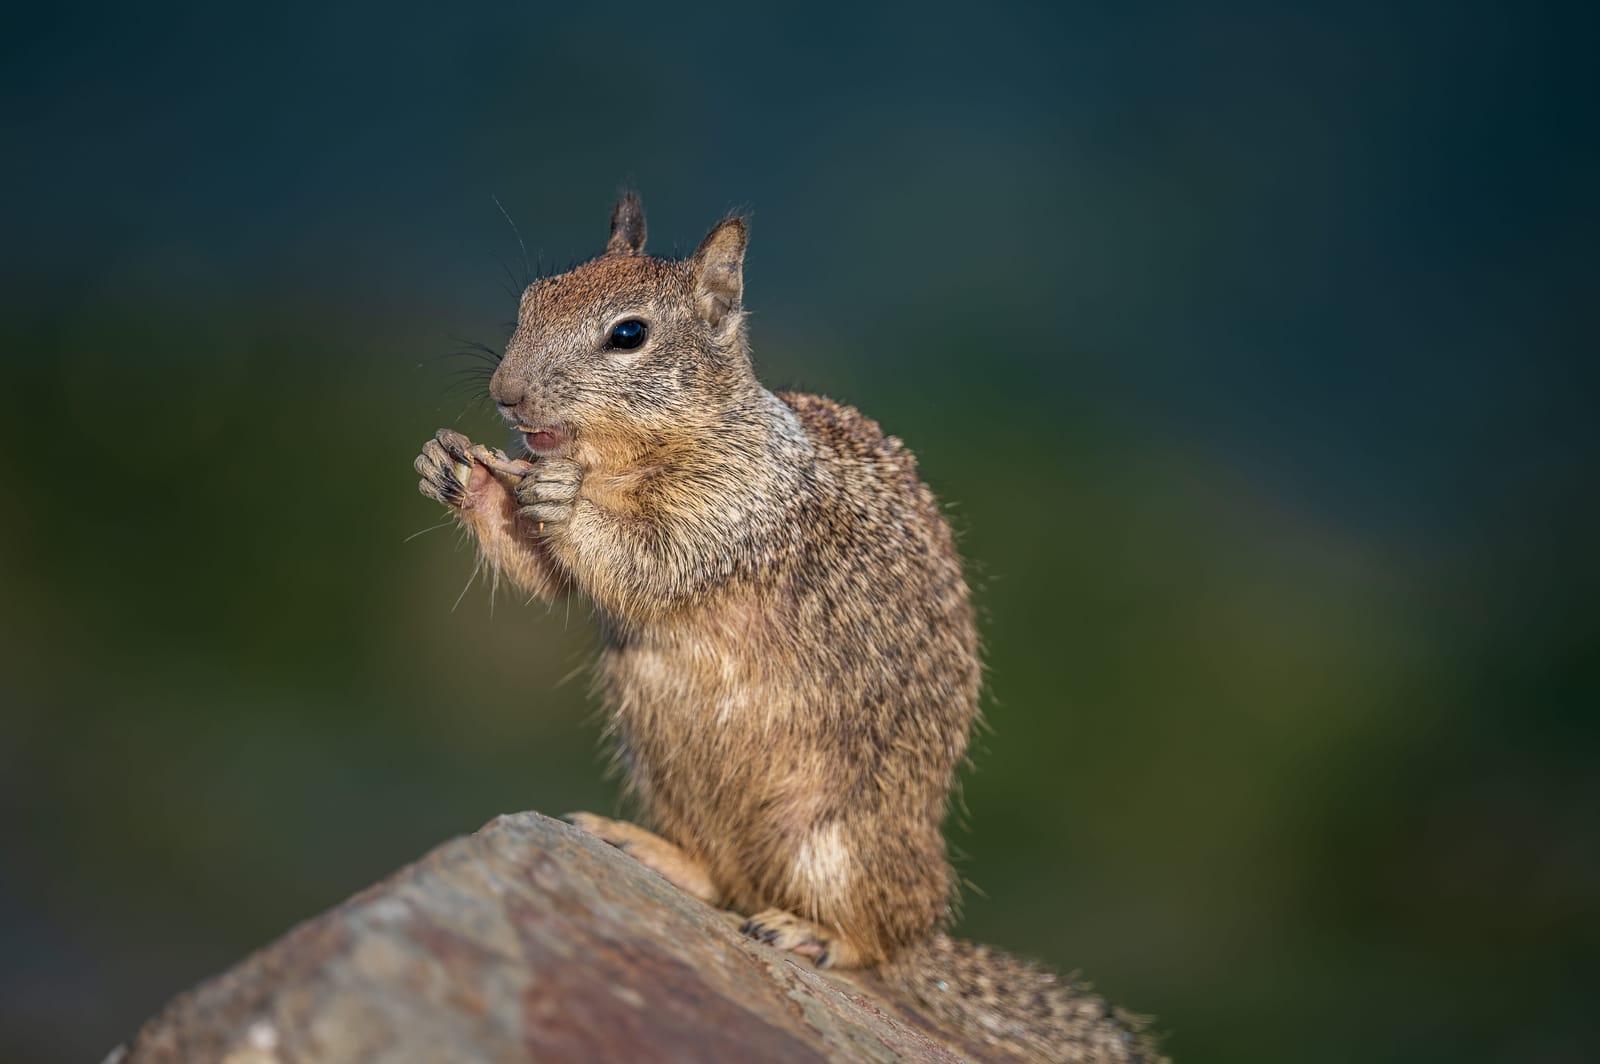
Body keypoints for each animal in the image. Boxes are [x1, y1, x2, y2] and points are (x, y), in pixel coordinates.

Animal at [414, 193, 1163, 1062]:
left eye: (628, 334)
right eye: (534, 297)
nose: (506, 393)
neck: (625, 458)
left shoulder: (738, 511)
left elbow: (648, 558)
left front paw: (561, 499)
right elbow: (553, 577)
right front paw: (455, 469)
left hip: (842, 845)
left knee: (878, 941)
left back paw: (816, 935)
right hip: (671, 780)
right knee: (723, 881)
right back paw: (650, 849)